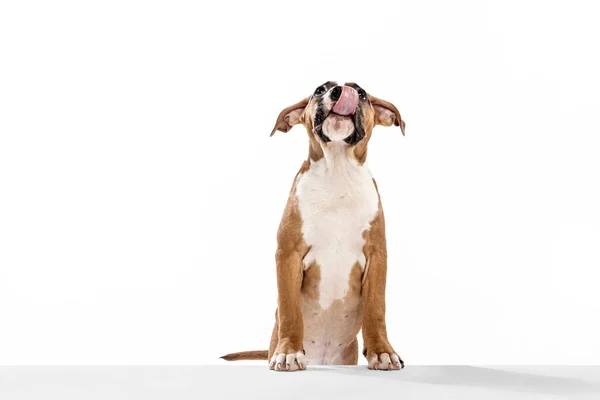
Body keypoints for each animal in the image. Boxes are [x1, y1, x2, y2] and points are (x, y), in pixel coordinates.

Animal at [221, 82, 408, 372]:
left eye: (362, 93)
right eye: (320, 90)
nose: (338, 92)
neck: (338, 173)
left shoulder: (377, 256)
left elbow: (376, 309)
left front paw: (382, 352)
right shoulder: (288, 254)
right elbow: (289, 310)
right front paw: (288, 352)